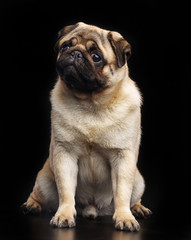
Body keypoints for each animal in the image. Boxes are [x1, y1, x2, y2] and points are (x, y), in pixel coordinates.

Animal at [21, 22, 151, 231]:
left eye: (96, 57)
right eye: (65, 46)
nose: (75, 53)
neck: (92, 103)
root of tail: (93, 210)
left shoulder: (122, 157)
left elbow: (122, 192)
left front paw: (125, 217)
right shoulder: (65, 154)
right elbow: (66, 190)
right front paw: (64, 215)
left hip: (138, 181)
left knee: (133, 196)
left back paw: (138, 209)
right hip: (44, 179)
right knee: (39, 194)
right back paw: (31, 205)